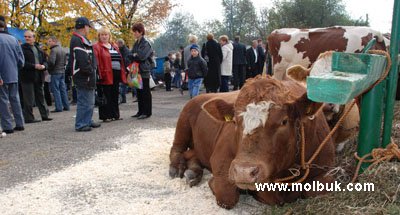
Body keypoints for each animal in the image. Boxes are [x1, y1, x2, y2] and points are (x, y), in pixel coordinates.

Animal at [169, 77, 334, 208]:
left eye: (284, 121)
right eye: (234, 121)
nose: (244, 172)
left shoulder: (325, 169)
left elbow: (315, 191)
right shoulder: (221, 157)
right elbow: (226, 195)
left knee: (193, 153)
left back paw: (193, 172)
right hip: (183, 120)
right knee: (177, 149)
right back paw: (178, 168)